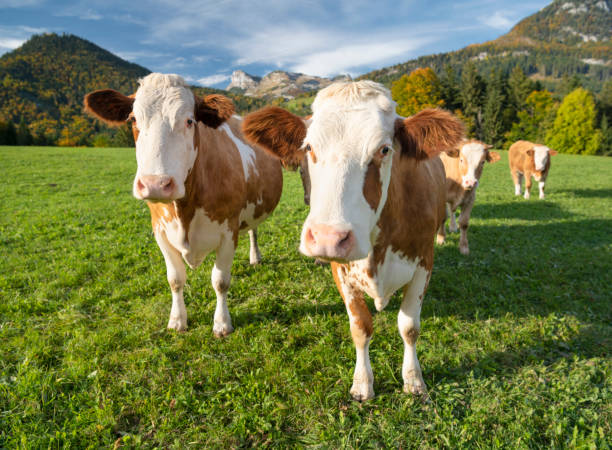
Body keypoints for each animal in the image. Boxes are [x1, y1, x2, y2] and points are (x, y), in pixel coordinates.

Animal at [85, 73, 284, 334]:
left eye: (190, 121)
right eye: (134, 119)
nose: (155, 184)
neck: (186, 210)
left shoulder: (229, 230)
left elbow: (220, 281)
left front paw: (222, 323)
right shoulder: (159, 230)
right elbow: (175, 279)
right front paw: (177, 319)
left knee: (253, 230)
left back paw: (255, 257)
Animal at [241, 81, 462, 400]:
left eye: (384, 149)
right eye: (309, 147)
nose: (327, 237)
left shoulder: (424, 261)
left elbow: (409, 326)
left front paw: (413, 379)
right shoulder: (341, 270)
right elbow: (360, 328)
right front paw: (362, 382)